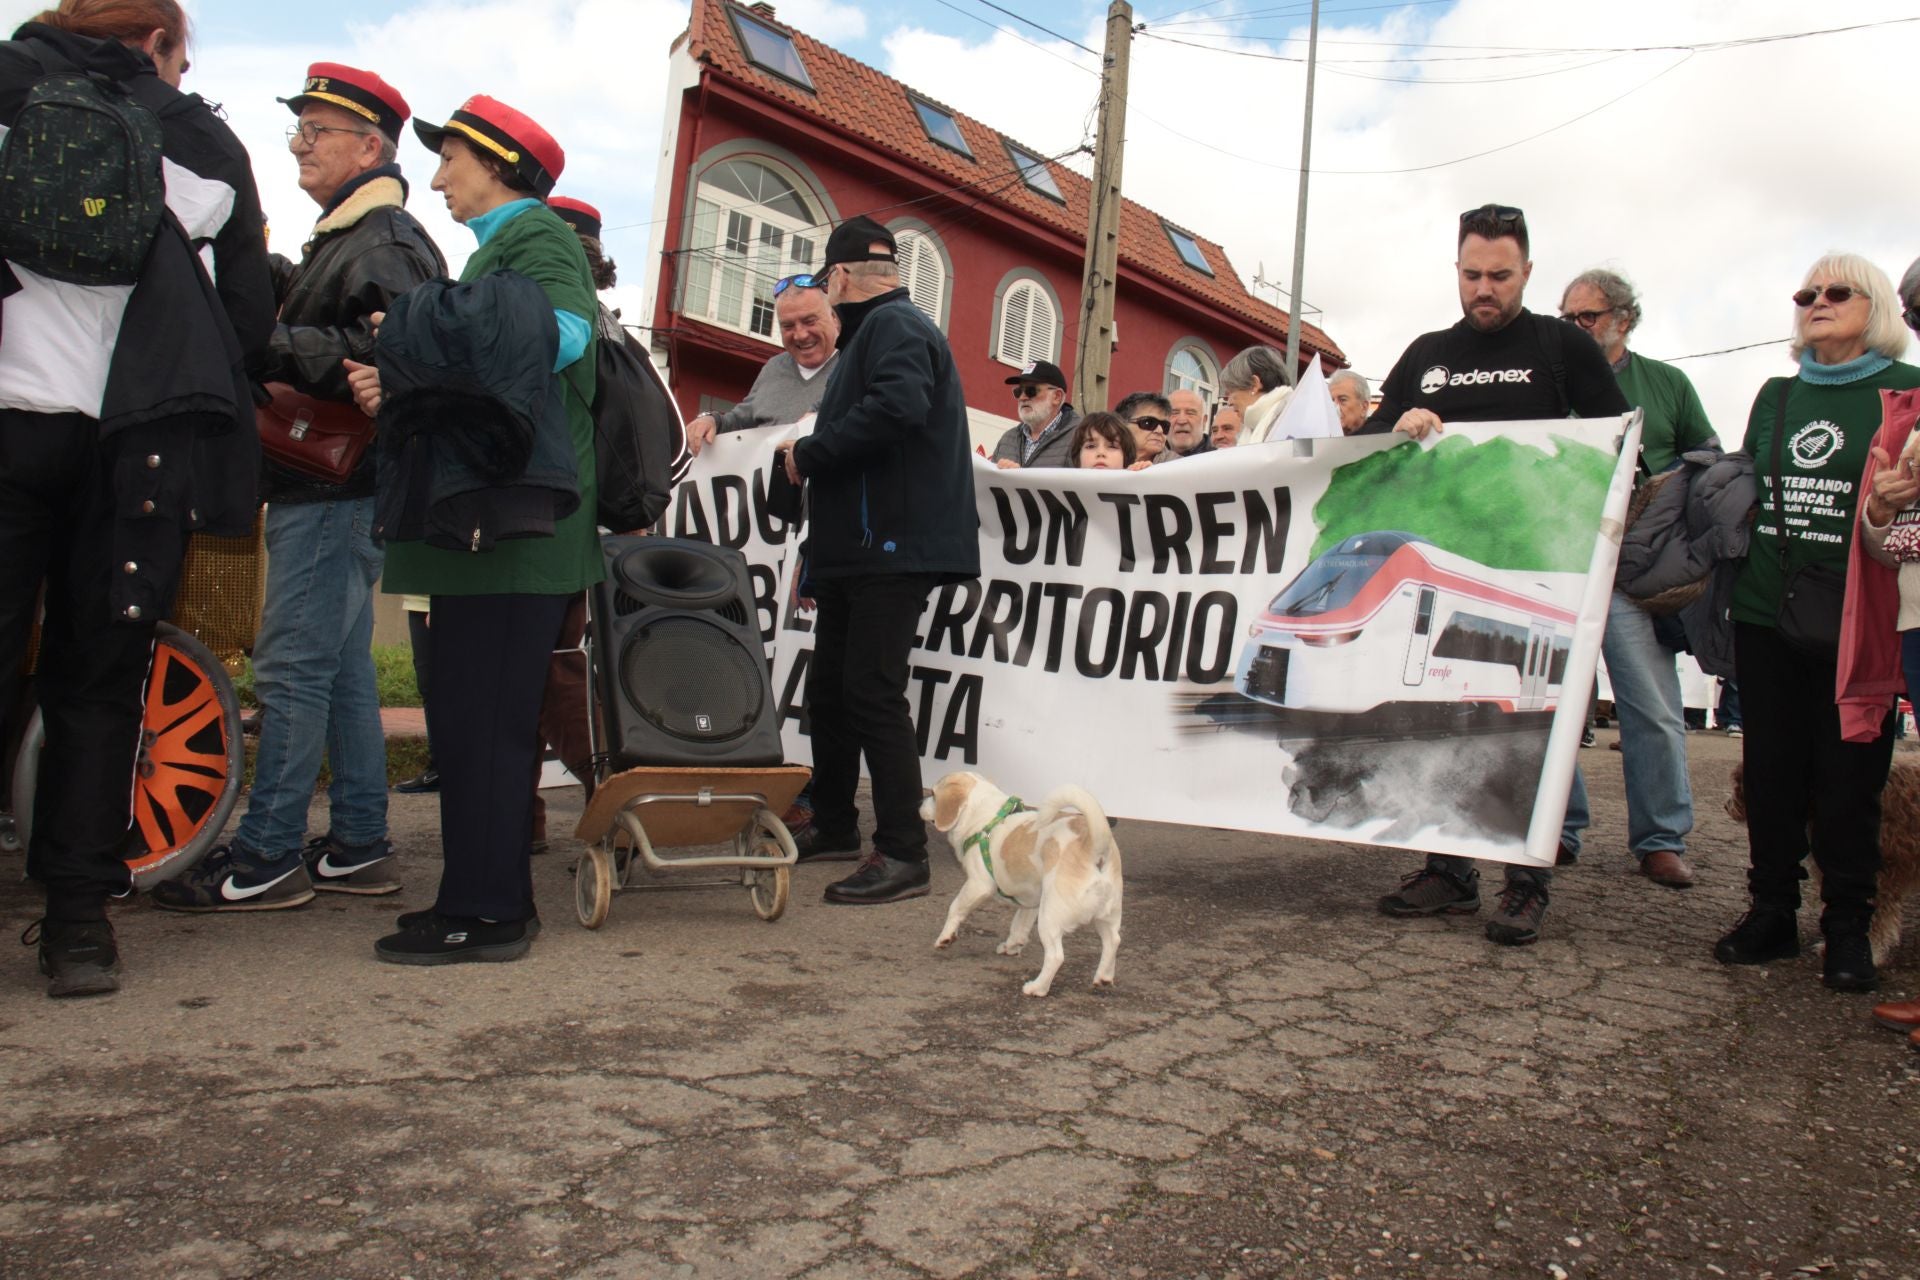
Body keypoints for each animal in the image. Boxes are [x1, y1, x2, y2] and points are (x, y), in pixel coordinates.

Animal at [917, 771, 1121, 997]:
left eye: (933, 794)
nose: (919, 802)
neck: (984, 817)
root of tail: (1094, 847)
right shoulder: (1031, 899)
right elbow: (1019, 924)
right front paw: (1012, 945)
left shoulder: (977, 885)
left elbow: (955, 908)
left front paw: (945, 937)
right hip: (1107, 916)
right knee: (1113, 941)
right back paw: (1104, 977)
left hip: (1049, 919)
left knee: (1056, 956)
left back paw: (1037, 988)